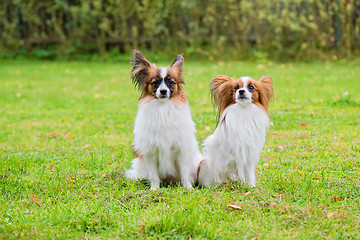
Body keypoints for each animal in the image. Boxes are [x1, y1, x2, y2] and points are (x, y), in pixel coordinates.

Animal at [124, 49, 202, 190]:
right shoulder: (150, 151)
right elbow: (154, 175)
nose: (163, 91)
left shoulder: (181, 149)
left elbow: (185, 173)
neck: (163, 107)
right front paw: (154, 189)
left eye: (171, 82)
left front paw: (188, 188)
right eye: (155, 82)